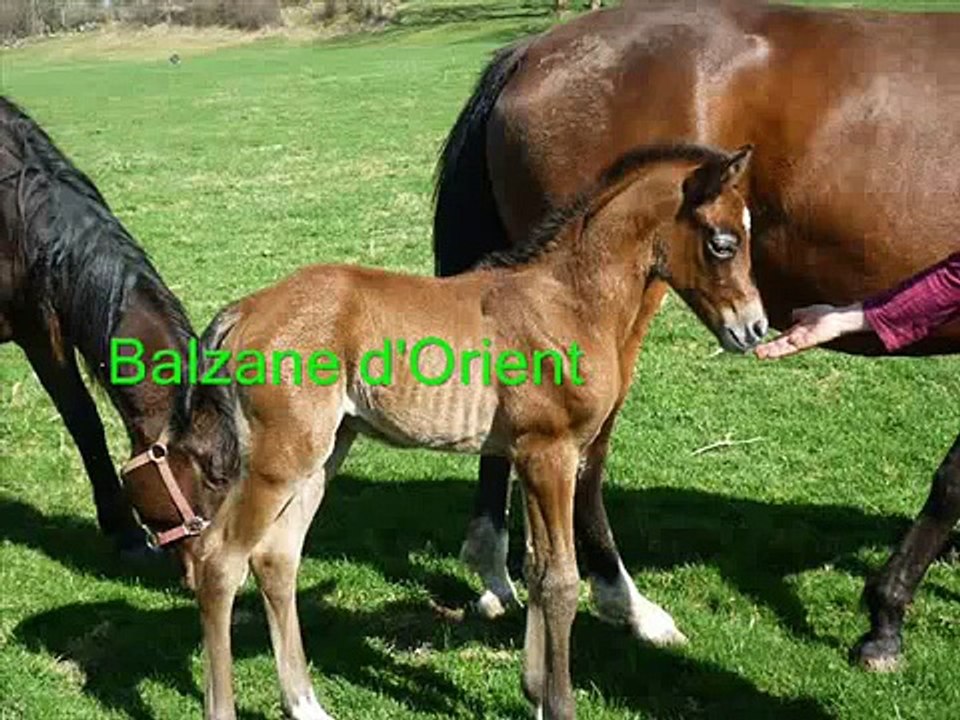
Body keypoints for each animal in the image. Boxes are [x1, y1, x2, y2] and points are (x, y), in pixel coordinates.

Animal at [125, 142, 762, 720]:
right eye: (723, 242)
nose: (754, 328)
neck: (570, 300)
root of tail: (244, 311)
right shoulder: (550, 453)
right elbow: (560, 580)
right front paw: (558, 704)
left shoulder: (530, 455)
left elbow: (536, 570)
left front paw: (533, 693)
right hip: (280, 459)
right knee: (219, 561)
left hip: (325, 452)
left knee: (277, 558)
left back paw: (306, 704)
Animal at [431, 0, 960, 673]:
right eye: (725, 242)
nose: (756, 326)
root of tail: (533, 50)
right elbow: (950, 482)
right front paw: (885, 621)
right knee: (587, 460)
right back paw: (627, 603)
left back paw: (494, 575)